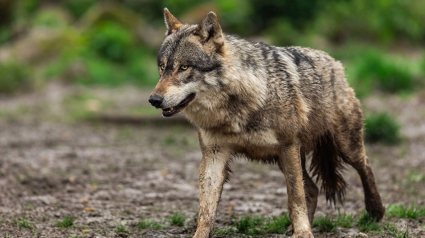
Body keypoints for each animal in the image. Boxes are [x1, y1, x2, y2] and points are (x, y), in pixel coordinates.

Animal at [148, 8, 384, 237]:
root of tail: (335, 62)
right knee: (313, 188)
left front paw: (303, 233)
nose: (154, 100)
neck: (237, 107)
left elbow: (295, 197)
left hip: (343, 147)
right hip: (284, 159)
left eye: (184, 67)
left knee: (365, 164)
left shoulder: (288, 146)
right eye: (162, 67)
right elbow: (206, 209)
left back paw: (376, 210)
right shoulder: (214, 155)